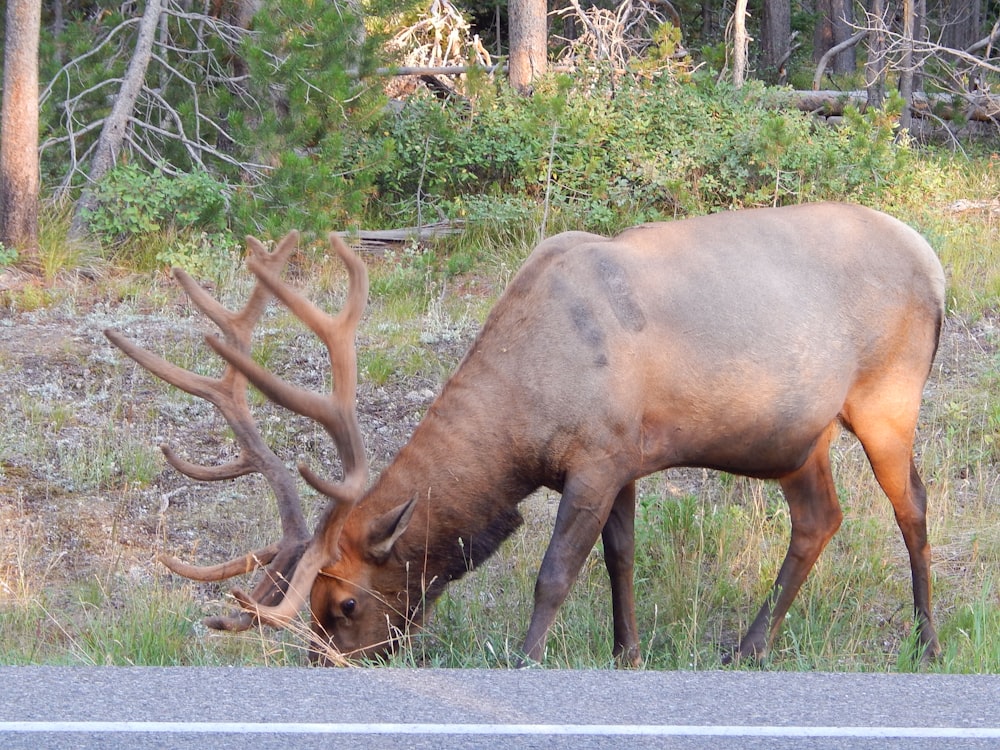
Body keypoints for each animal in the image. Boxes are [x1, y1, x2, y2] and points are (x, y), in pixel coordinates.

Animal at [107, 203, 944, 668]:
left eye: (342, 604)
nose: (326, 666)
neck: (521, 421)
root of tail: (934, 262)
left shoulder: (598, 456)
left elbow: (556, 572)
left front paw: (527, 658)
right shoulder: (625, 457)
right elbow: (620, 558)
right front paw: (627, 654)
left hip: (887, 397)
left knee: (912, 507)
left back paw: (925, 640)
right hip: (798, 437)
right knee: (819, 519)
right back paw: (747, 646)